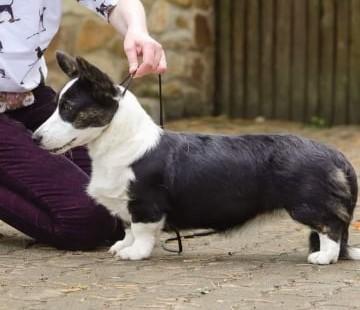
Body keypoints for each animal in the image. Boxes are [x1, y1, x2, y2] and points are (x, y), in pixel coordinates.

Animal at [33, 52, 360, 266]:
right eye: (57, 104)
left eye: (69, 107)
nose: (35, 138)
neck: (121, 143)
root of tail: (336, 154)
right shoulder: (125, 204)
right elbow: (126, 228)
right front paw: (121, 246)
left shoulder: (145, 204)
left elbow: (140, 231)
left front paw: (134, 253)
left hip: (308, 204)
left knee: (332, 226)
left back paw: (324, 257)